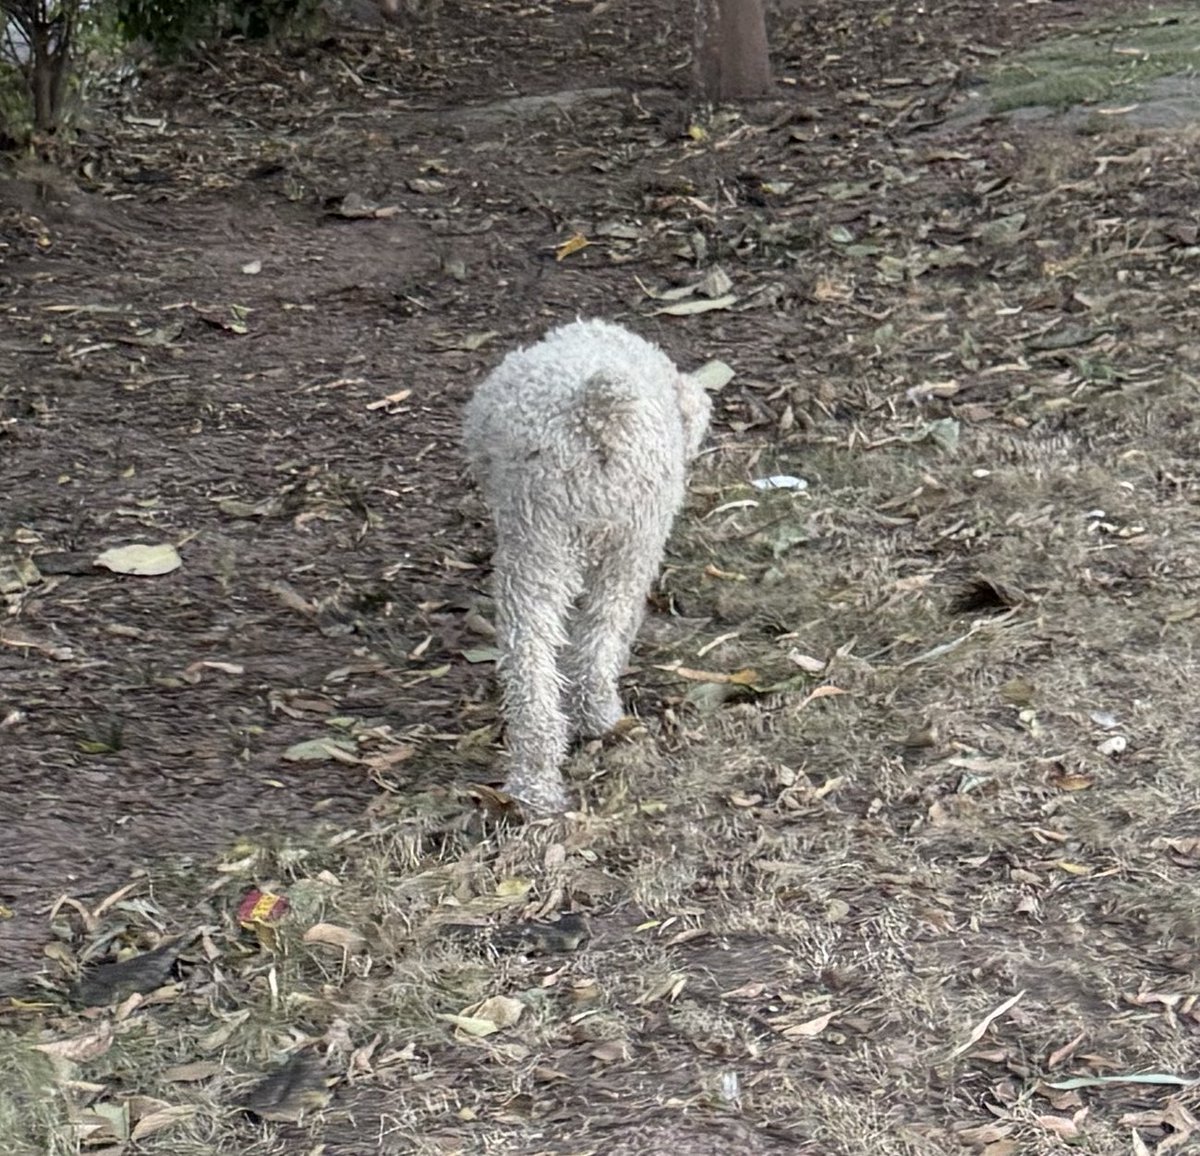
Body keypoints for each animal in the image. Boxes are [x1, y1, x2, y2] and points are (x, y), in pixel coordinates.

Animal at [463, 319, 711, 814]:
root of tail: (599, 410)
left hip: (549, 543)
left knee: (550, 652)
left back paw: (543, 774)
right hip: (591, 543)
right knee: (584, 639)